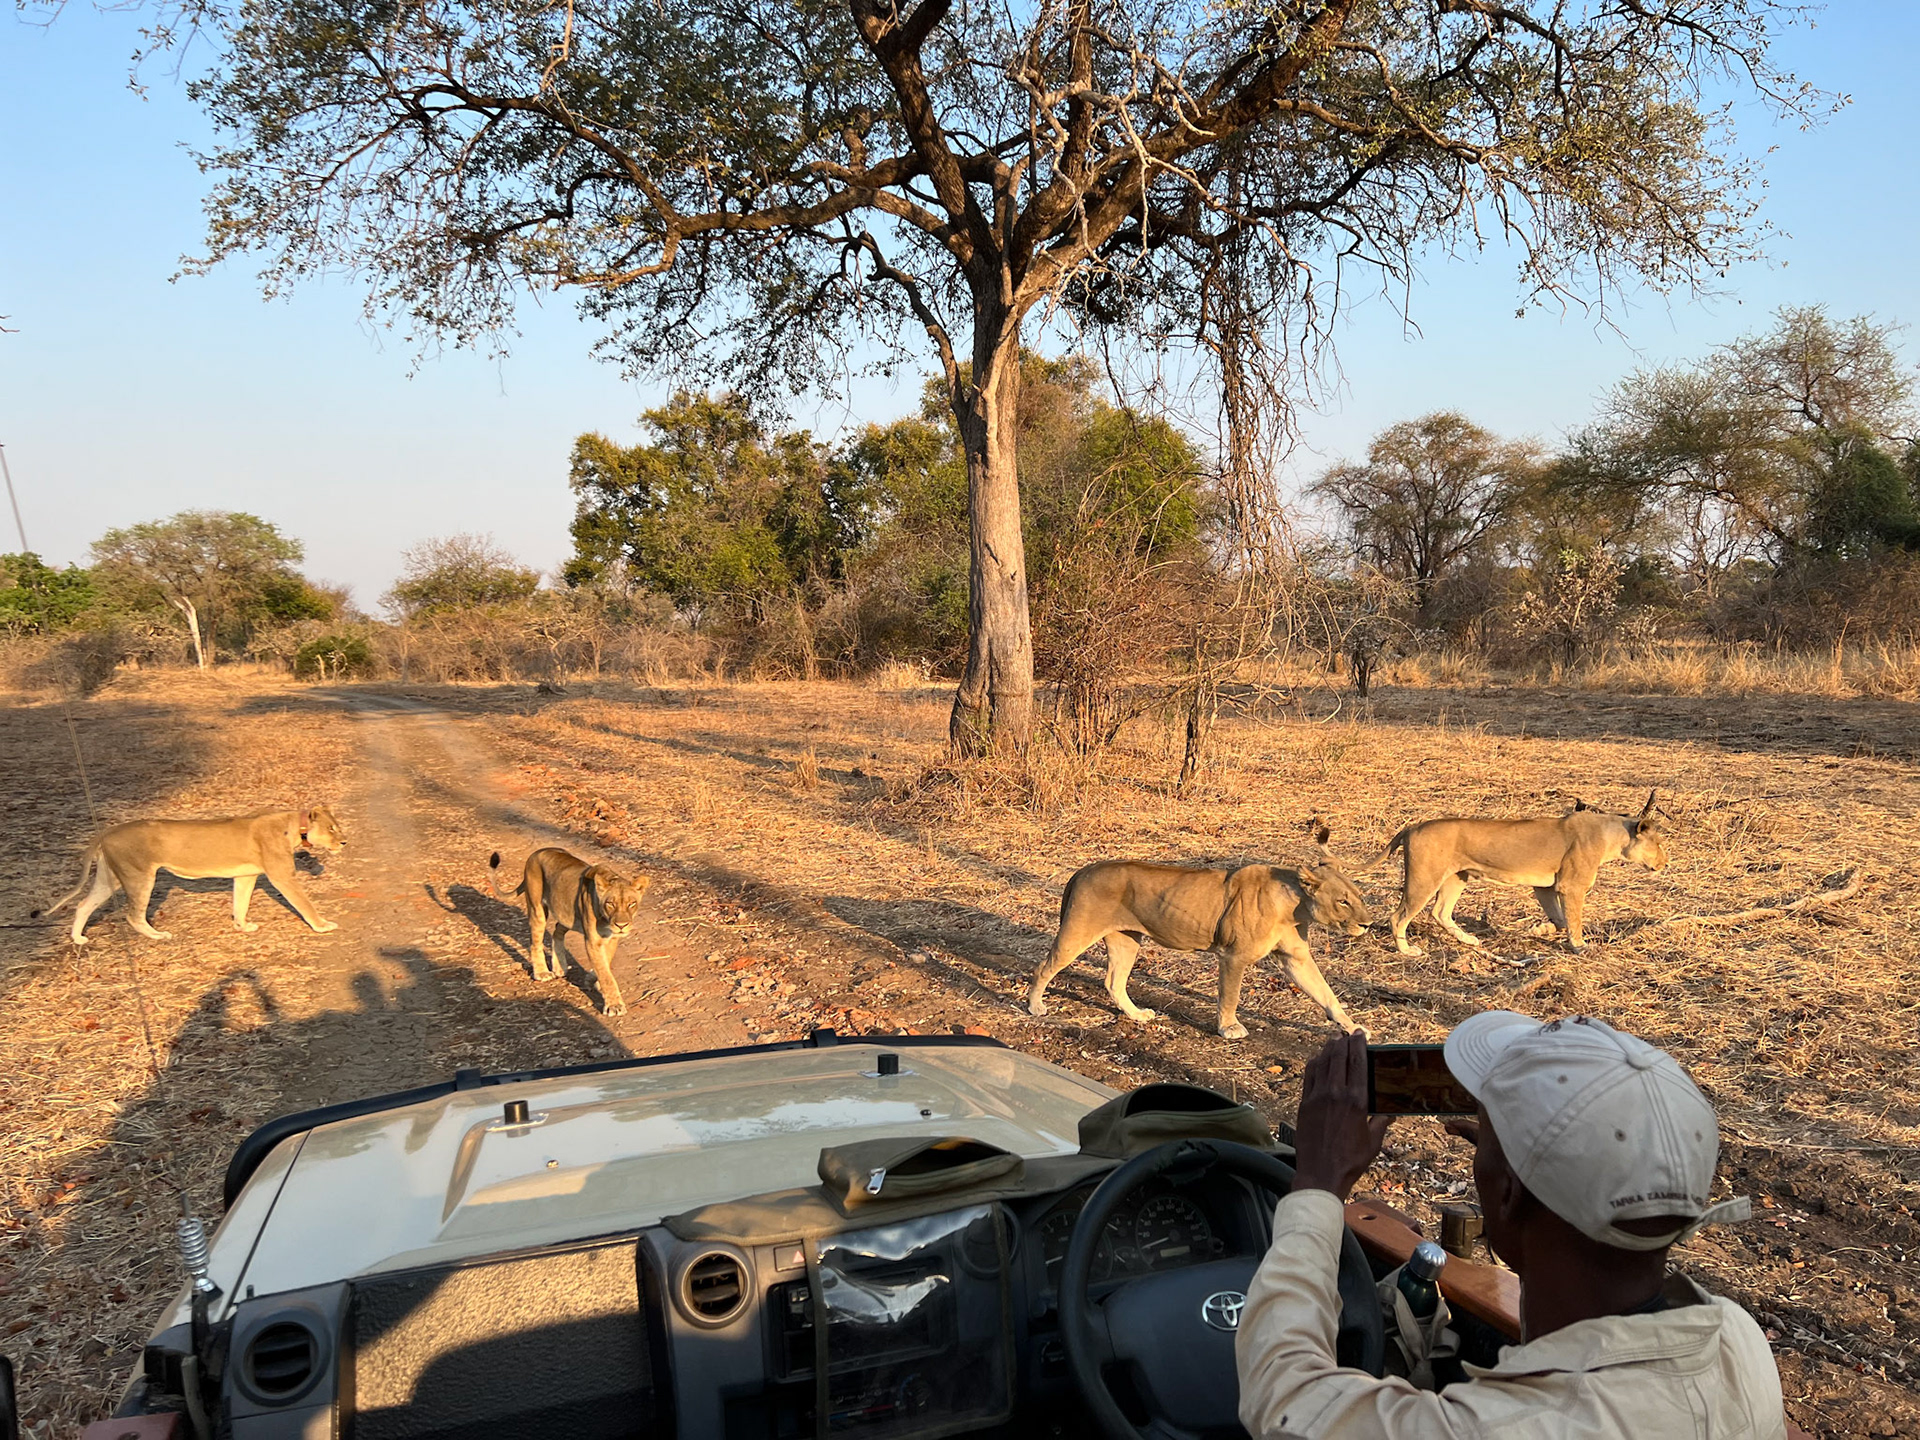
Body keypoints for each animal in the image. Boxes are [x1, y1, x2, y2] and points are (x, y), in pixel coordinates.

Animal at [38, 806, 346, 944]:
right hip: (139, 875)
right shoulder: (282, 875)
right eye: (332, 828)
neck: (295, 827)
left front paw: (242, 926)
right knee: (132, 914)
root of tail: (107, 832)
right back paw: (158, 935)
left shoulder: (245, 876)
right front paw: (323, 925)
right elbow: (304, 903)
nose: (344, 841)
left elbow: (240, 903)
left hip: (109, 877)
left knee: (83, 904)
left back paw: (78, 939)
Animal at [489, 848, 650, 1016]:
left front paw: (592, 978)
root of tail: (537, 852)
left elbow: (606, 962)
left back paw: (560, 967)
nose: (621, 925)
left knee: (556, 931)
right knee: (535, 942)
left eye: (632, 903)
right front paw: (614, 1005)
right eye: (610, 903)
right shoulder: (592, 941)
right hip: (537, 908)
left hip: (566, 913)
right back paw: (542, 973)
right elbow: (605, 973)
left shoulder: (611, 938)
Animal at [1026, 829, 1373, 1038]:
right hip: (1079, 930)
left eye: (1359, 897)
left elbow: (1327, 994)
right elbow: (1230, 996)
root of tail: (1084, 869)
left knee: (1113, 981)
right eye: (1343, 901)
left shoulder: (1295, 959)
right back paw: (1035, 1007)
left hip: (1126, 939)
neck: (1294, 907)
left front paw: (1354, 1028)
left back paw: (1137, 1015)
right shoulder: (1233, 956)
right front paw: (1229, 1028)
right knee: (1043, 967)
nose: (1368, 924)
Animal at [1375, 791, 1670, 955]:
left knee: (1440, 912)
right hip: (1424, 879)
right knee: (1398, 917)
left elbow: (1560, 920)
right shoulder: (1571, 886)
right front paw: (1580, 946)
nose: (1665, 863)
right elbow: (1574, 920)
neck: (1611, 836)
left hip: (1457, 878)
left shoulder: (1545, 886)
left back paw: (1469, 940)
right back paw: (1407, 950)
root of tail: (1412, 827)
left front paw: (1539, 928)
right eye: (1658, 844)